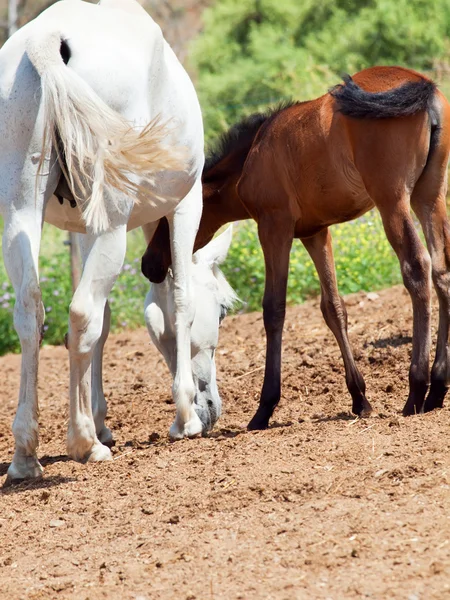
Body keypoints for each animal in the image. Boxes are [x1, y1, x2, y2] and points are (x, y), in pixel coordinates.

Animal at [0, 0, 204, 480]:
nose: (211, 403)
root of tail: (49, 40)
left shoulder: (84, 231)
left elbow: (106, 325)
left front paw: (102, 419)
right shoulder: (186, 206)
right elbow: (181, 301)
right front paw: (185, 416)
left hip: (21, 212)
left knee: (32, 313)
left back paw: (26, 455)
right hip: (113, 224)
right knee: (80, 312)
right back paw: (82, 442)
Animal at [143, 68, 450, 428]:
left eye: (168, 216)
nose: (148, 264)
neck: (253, 157)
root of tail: (422, 86)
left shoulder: (274, 226)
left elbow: (273, 309)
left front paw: (264, 408)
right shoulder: (315, 233)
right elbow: (334, 308)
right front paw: (359, 398)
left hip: (393, 200)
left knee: (417, 268)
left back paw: (416, 390)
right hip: (429, 196)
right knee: (442, 271)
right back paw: (438, 387)